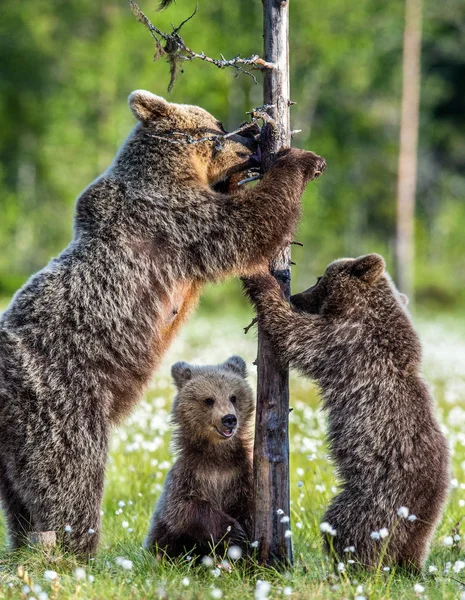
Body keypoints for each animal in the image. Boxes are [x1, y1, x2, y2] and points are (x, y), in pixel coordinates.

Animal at [146, 356, 254, 556]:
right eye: (209, 400)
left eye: (233, 397)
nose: (229, 419)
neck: (217, 457)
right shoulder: (190, 474)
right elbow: (184, 507)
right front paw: (233, 532)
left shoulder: (240, 474)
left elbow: (249, 507)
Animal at [245, 254, 448, 572]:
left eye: (319, 278)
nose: (297, 296)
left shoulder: (345, 342)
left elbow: (295, 333)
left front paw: (261, 282)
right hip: (421, 521)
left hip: (377, 497)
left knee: (347, 527)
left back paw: (346, 564)